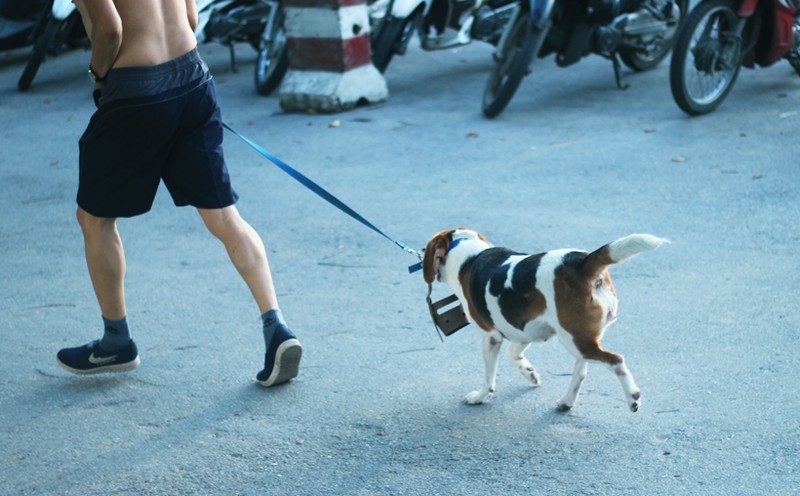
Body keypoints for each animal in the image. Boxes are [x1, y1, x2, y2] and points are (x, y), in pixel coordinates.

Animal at [422, 228, 664, 410]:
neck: (468, 253)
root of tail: (581, 262)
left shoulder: (491, 338)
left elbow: (489, 377)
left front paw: (481, 396)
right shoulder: (522, 330)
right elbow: (513, 355)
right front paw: (530, 374)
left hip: (575, 340)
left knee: (616, 361)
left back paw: (632, 397)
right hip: (580, 339)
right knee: (581, 371)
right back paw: (566, 402)